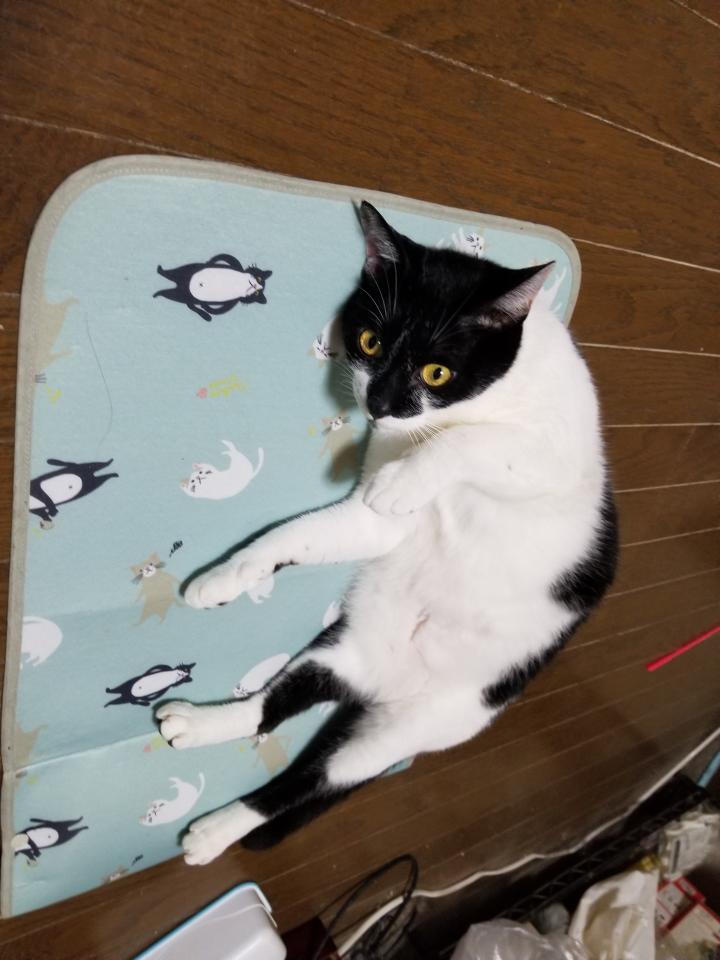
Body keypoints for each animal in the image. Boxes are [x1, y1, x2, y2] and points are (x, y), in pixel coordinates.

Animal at [155, 201, 618, 866]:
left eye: (437, 371)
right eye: (371, 342)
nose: (378, 404)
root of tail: (379, 689)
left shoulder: (556, 464)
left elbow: (479, 442)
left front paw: (410, 477)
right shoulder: (374, 521)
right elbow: (295, 534)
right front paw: (224, 577)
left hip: (420, 724)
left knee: (311, 781)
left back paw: (215, 831)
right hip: (343, 650)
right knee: (272, 709)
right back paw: (199, 729)